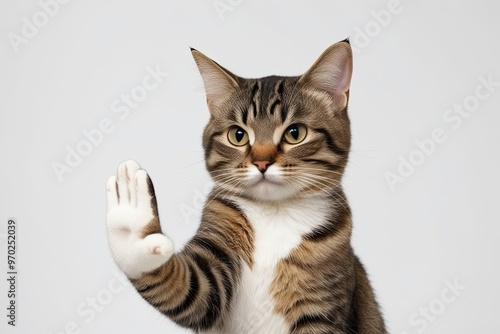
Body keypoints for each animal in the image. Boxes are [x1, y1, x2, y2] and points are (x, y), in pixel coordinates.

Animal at [105, 39, 386, 334]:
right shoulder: (215, 255)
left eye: (295, 133)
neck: (275, 213)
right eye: (237, 135)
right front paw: (132, 225)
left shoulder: (323, 308)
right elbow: (190, 288)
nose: (261, 162)